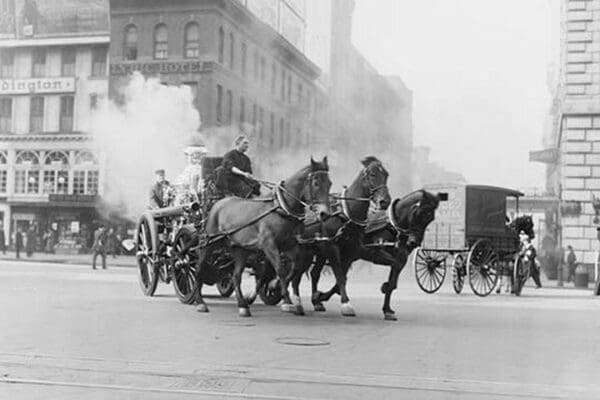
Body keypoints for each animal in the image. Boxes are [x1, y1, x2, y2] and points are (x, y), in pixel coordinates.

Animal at [310, 189, 440, 320]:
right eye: (418, 213)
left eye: (431, 218)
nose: (414, 242)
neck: (392, 226)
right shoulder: (373, 253)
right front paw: (322, 296)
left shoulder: (401, 258)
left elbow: (392, 283)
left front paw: (387, 309)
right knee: (318, 273)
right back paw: (317, 300)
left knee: (317, 273)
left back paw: (317, 301)